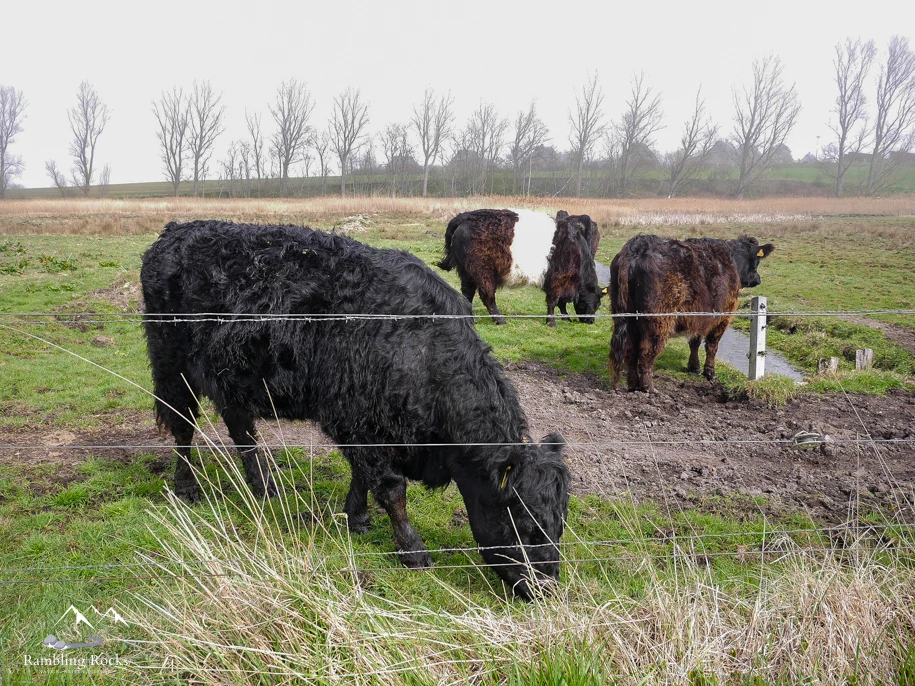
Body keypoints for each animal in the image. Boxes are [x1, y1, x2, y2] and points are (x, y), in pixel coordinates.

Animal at [141, 220, 570, 599]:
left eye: (559, 525)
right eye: (526, 525)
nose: (547, 588)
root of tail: (176, 231)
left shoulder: (365, 427)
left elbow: (362, 476)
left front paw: (356, 518)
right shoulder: (358, 420)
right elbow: (391, 488)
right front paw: (412, 550)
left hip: (235, 377)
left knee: (241, 429)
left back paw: (263, 487)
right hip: (171, 363)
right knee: (183, 426)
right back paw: (188, 487)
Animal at [437, 209, 602, 326]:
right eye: (597, 303)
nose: (591, 321)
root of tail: (465, 216)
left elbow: (561, 302)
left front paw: (565, 317)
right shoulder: (558, 279)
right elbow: (553, 301)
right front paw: (551, 321)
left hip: (466, 271)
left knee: (468, 293)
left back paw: (470, 317)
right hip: (482, 271)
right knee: (487, 296)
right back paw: (499, 320)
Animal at [608, 234, 775, 393]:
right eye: (757, 261)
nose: (758, 279)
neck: (732, 262)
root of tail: (638, 245)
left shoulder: (698, 316)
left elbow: (695, 341)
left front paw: (694, 367)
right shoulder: (722, 316)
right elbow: (712, 345)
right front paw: (710, 374)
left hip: (628, 317)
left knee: (630, 350)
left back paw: (633, 385)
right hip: (658, 320)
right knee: (646, 351)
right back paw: (649, 387)